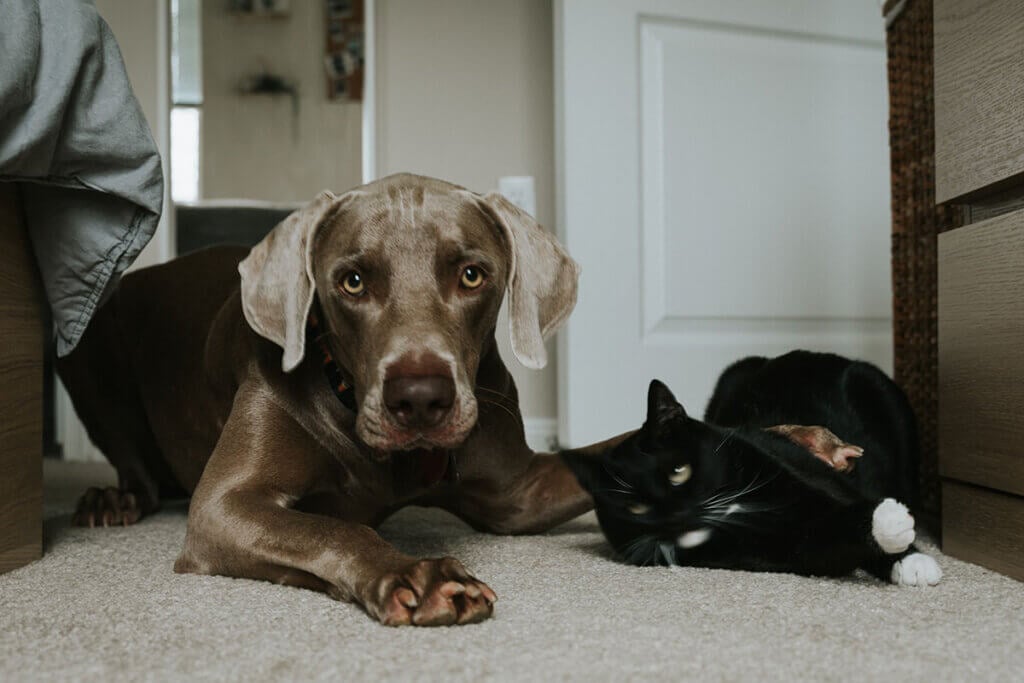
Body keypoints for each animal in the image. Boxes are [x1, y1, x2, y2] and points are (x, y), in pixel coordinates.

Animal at [565, 352, 937, 589]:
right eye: (635, 507)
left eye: (679, 471)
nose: (677, 517)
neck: (735, 505)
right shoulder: (780, 550)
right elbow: (825, 542)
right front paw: (888, 526)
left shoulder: (800, 467)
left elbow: (844, 498)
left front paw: (910, 558)